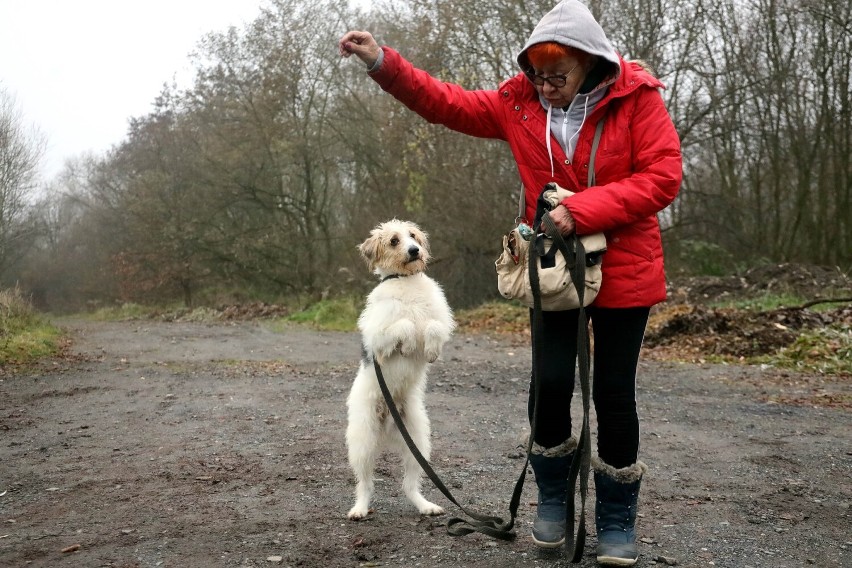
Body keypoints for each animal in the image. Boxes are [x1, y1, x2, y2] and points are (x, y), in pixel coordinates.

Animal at [344, 220, 456, 520]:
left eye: (413, 236)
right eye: (394, 240)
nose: (415, 250)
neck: (405, 280)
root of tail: (387, 423)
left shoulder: (440, 323)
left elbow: (432, 327)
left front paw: (429, 351)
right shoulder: (378, 340)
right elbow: (404, 325)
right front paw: (406, 346)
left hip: (418, 440)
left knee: (409, 485)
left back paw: (426, 506)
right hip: (362, 441)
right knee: (365, 484)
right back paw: (359, 509)